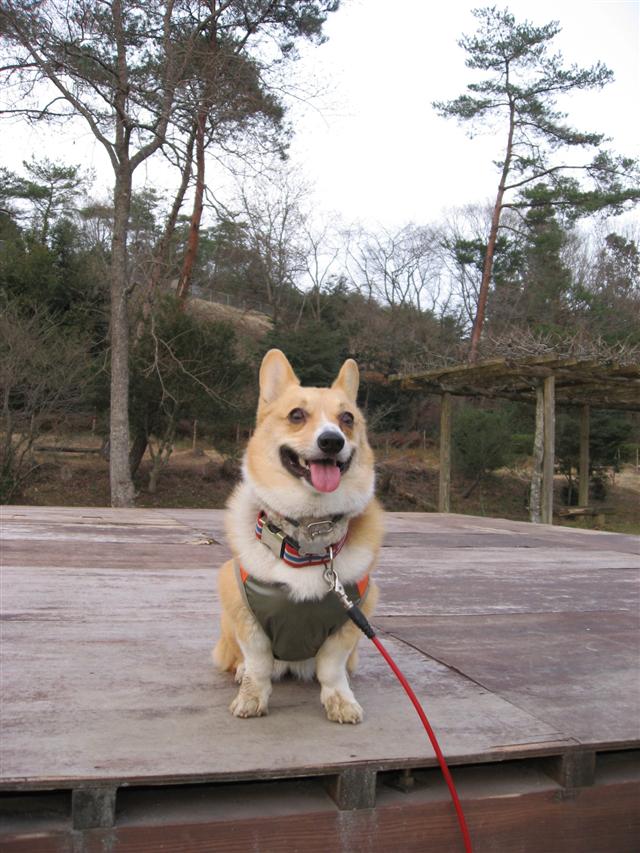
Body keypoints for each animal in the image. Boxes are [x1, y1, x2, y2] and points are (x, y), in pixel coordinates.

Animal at [213, 349, 382, 724]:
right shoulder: (246, 616)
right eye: (296, 415)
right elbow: (259, 664)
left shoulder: (350, 616)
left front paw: (340, 700)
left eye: (347, 418)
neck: (309, 535)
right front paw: (251, 698)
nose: (332, 441)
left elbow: (331, 668)